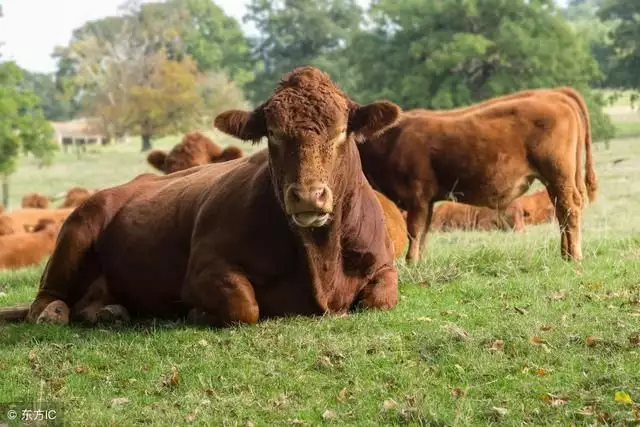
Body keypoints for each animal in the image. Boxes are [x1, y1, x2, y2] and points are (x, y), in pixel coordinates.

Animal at [0, 66, 400, 328]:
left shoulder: (384, 265)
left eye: (341, 131)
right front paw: (196, 312)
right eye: (272, 133)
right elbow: (245, 307)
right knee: (43, 299)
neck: (321, 256)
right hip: (76, 231)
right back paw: (54, 313)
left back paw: (109, 311)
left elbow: (381, 298)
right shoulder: (204, 269)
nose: (307, 196)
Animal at [360, 87, 596, 262]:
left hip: (559, 176)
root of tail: (554, 94)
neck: (390, 140)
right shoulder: (427, 202)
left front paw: (411, 263)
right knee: (562, 212)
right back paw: (565, 254)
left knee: (569, 209)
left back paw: (574, 256)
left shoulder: (417, 197)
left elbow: (415, 232)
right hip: (555, 181)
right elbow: (423, 234)